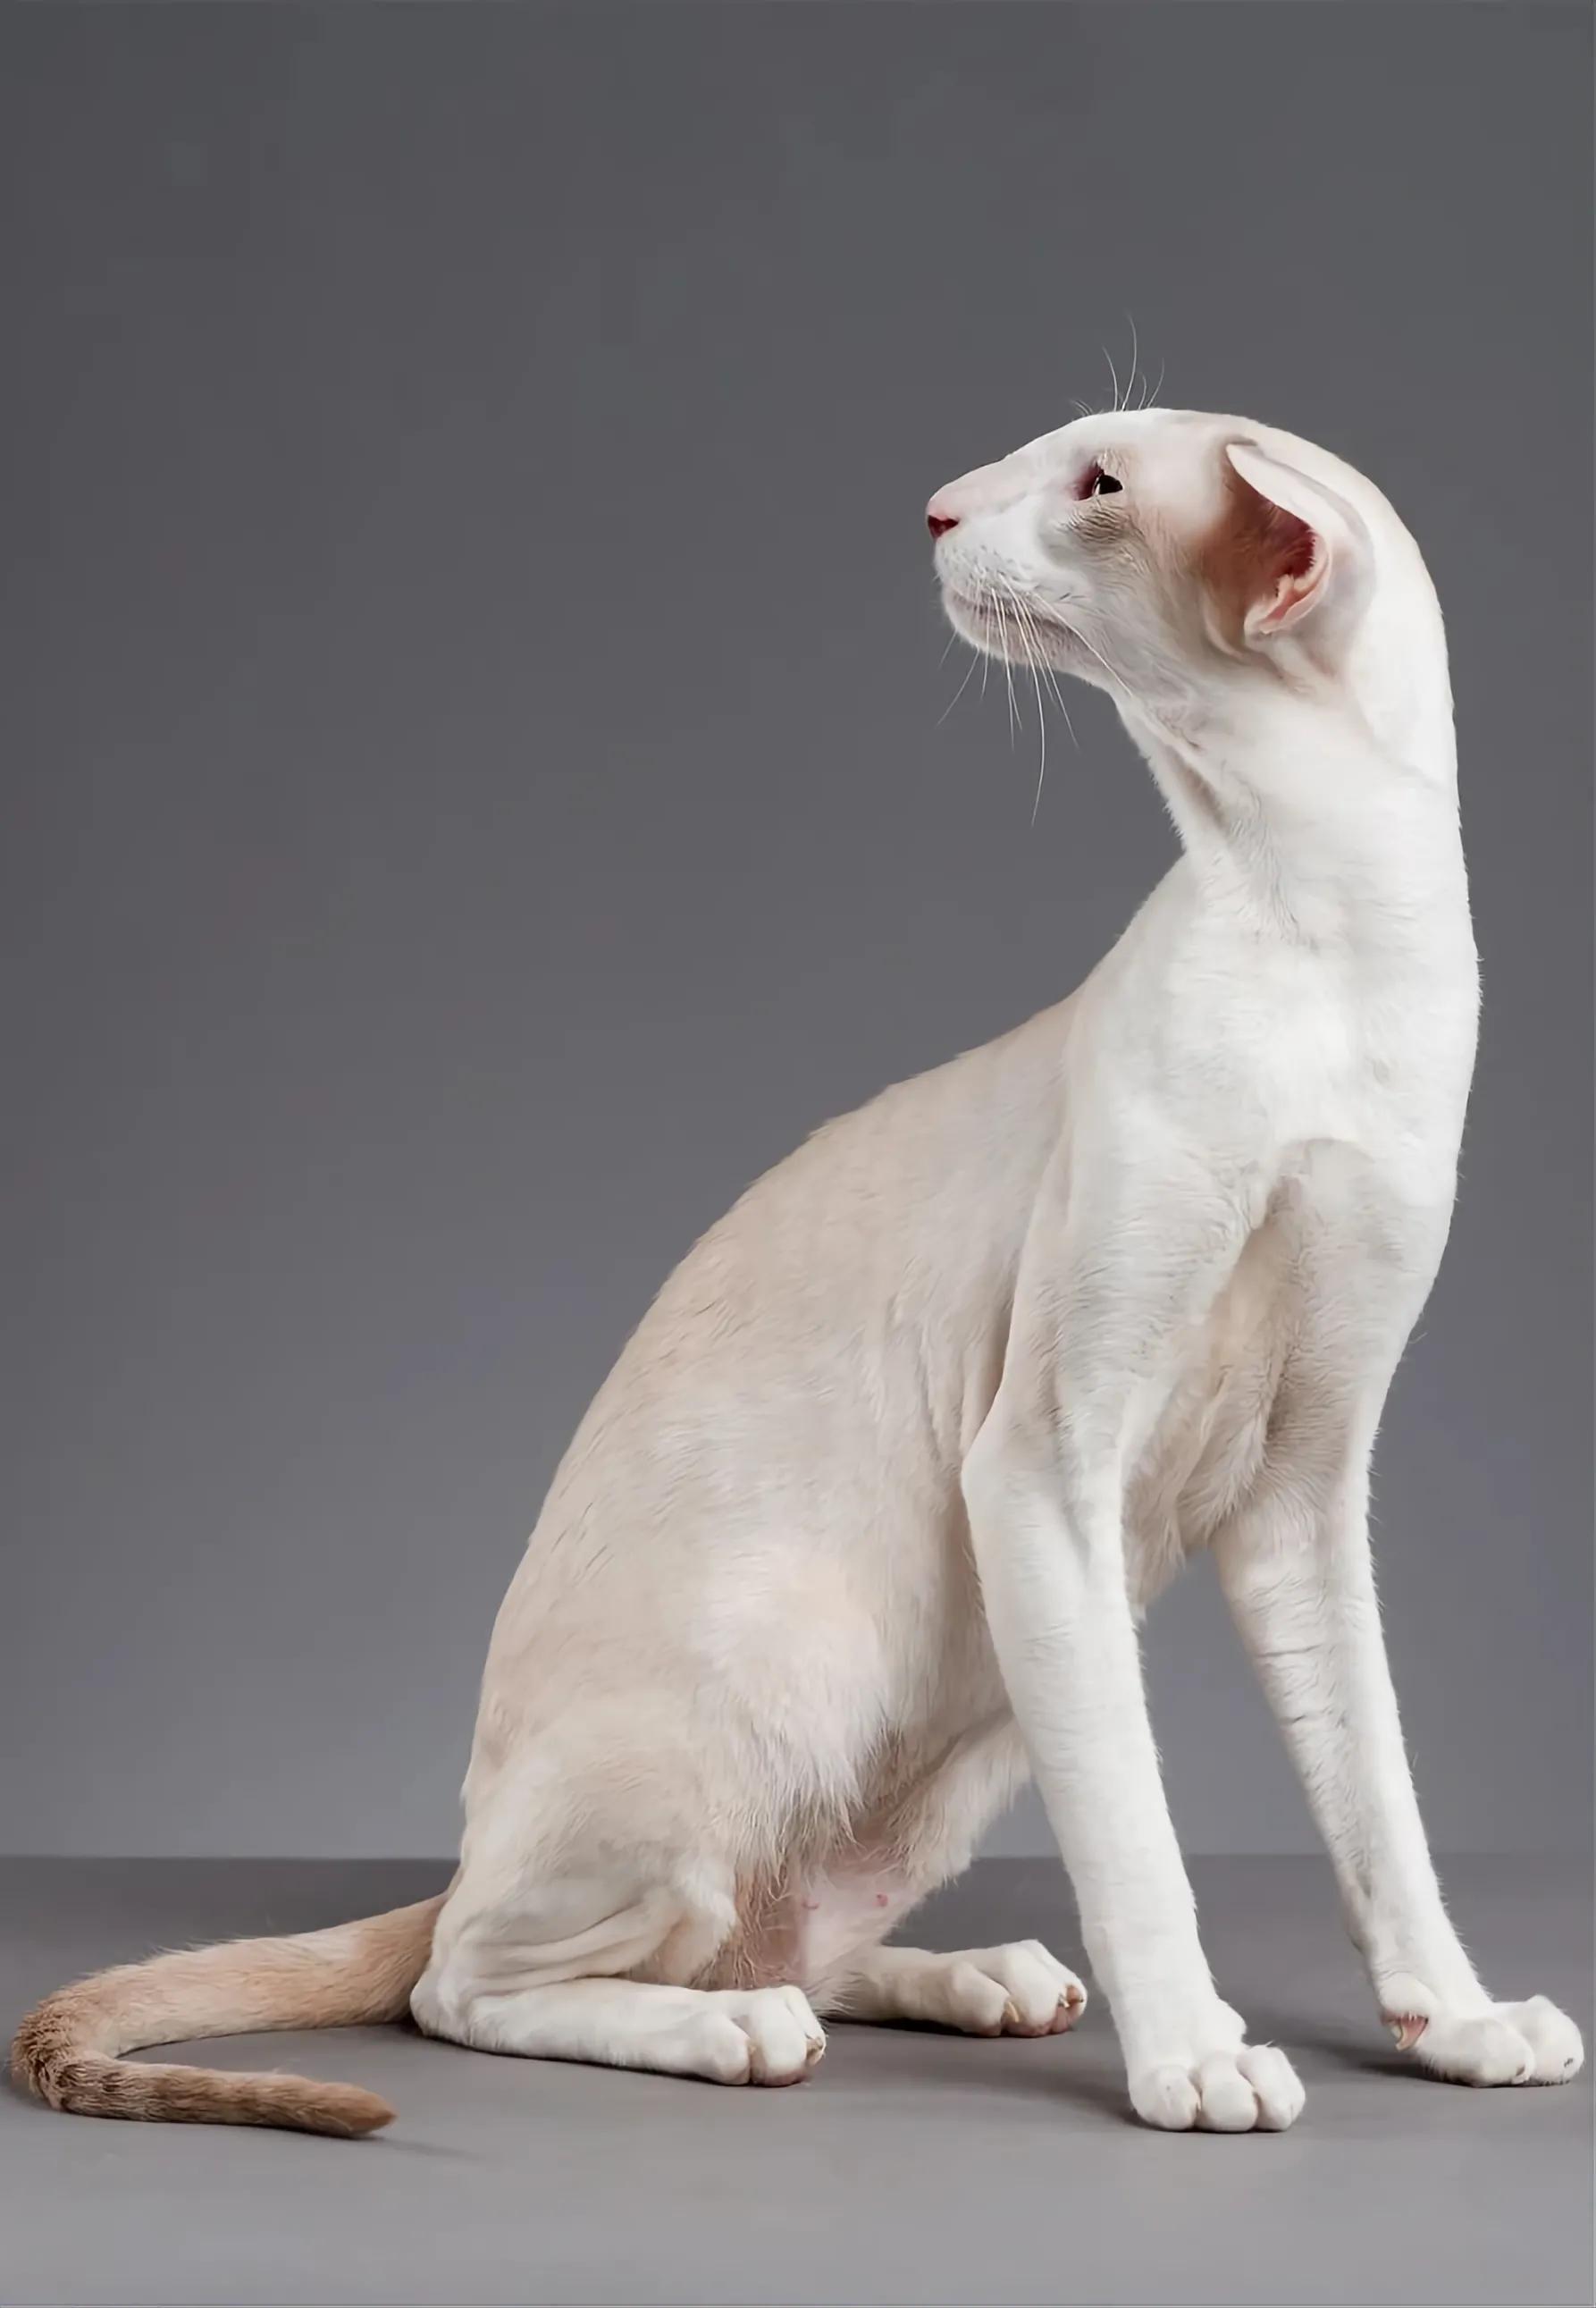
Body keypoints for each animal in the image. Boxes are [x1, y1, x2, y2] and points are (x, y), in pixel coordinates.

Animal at [15, 407, 1583, 2137]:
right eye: (1058, 456)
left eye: (1099, 485)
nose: (936, 509)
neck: (1325, 933)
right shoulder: (1043, 1458)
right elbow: (1140, 1826)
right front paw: (1193, 2055)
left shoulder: (1303, 1485)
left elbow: (1377, 1795)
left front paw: (1456, 2020)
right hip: (812, 1653)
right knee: (474, 1980)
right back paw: (738, 2031)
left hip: (968, 1725)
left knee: (776, 1929)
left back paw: (980, 1979)